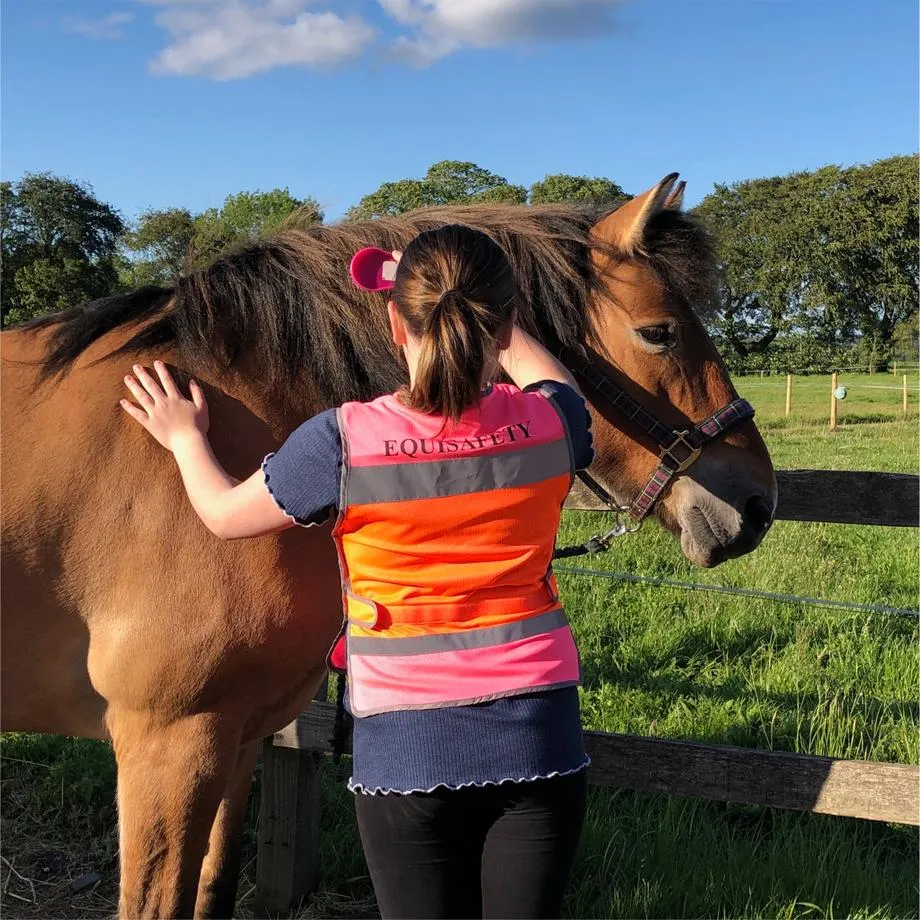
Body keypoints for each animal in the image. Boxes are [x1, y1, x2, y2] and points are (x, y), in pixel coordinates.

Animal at [0, 174, 776, 920]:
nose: (756, 504)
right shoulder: (168, 743)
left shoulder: (238, 738)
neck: (236, 418)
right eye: (659, 331)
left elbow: (212, 891)